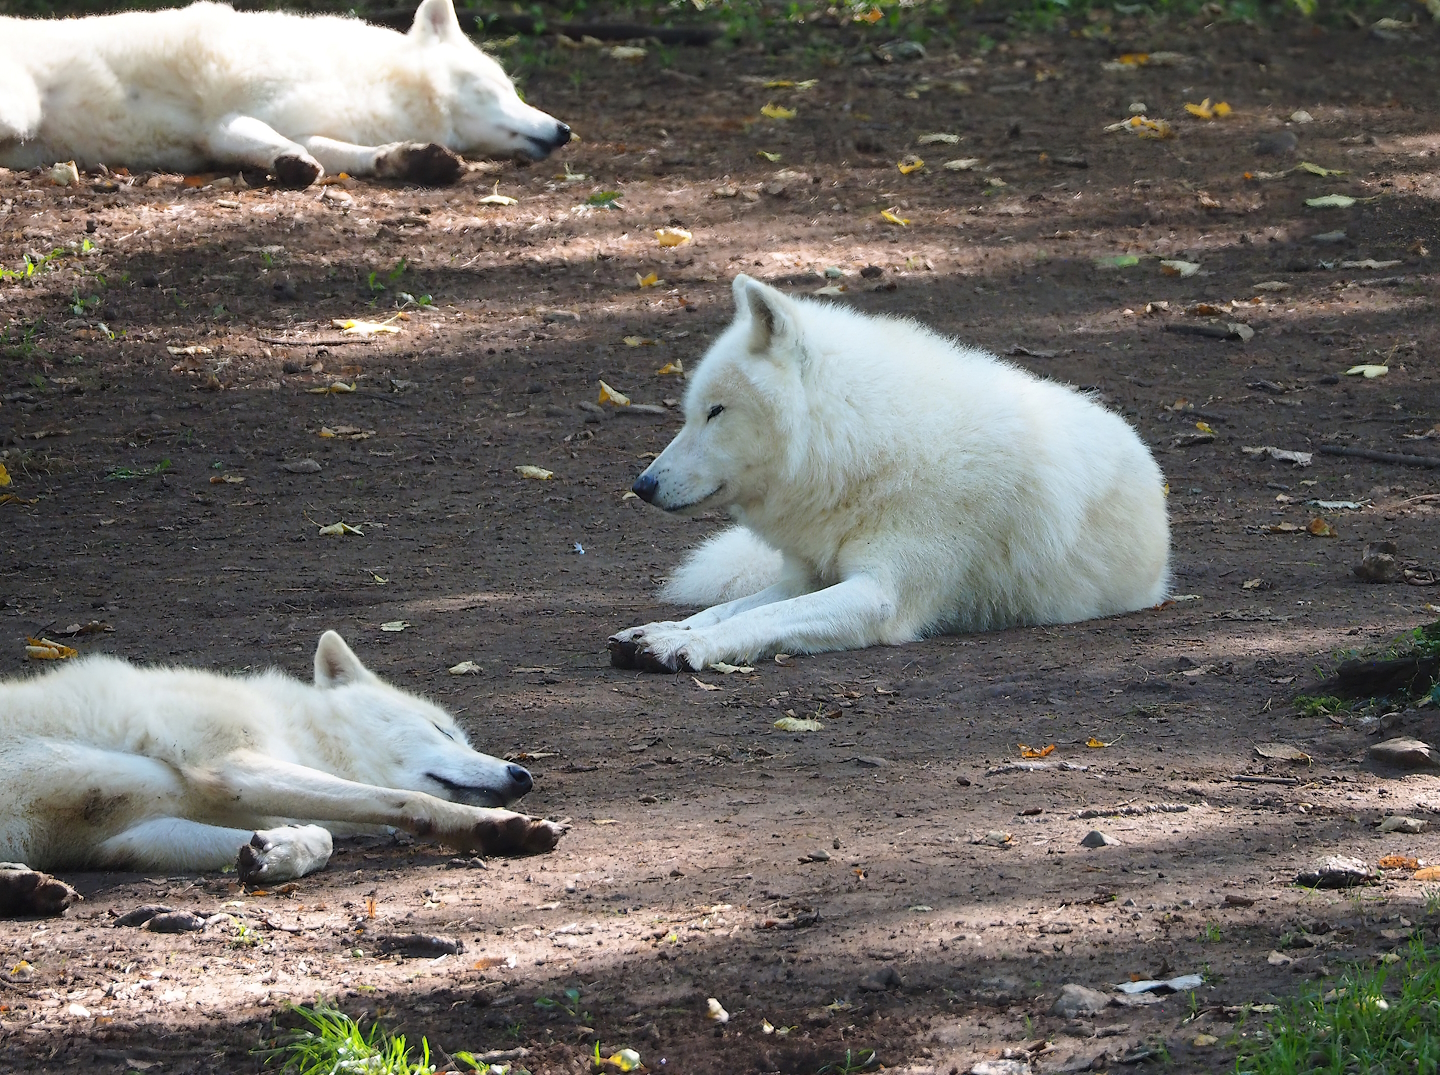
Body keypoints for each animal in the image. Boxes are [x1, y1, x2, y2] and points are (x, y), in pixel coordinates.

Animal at [0, 0, 570, 187]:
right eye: (500, 88)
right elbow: (273, 143)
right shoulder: (226, 123)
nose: (565, 130)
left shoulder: (313, 127)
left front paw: (412, 159)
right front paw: (288, 165)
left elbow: (351, 155)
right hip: (18, 110)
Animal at [0, 632, 564, 887]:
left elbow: (321, 838)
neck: (296, 732)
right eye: (441, 729)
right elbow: (400, 800)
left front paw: (273, 854)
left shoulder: (131, 837)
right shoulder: (234, 764)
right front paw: (498, 826)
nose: (523, 775)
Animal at [608, 275, 1170, 672]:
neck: (863, 445)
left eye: (716, 411)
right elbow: (730, 609)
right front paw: (659, 630)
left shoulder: (881, 594)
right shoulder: (805, 579)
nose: (642, 486)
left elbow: (757, 617)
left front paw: (685, 645)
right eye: (693, 412)